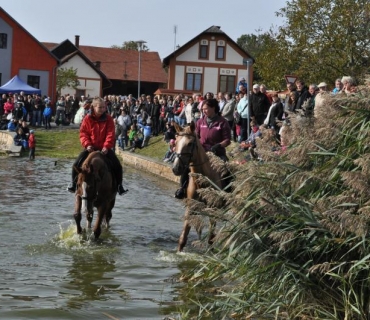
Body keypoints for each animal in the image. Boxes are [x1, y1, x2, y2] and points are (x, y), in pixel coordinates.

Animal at [173, 122, 224, 252]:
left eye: (190, 143)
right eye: (176, 142)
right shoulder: (191, 208)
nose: (176, 168)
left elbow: (211, 239)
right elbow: (182, 239)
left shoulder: (213, 209)